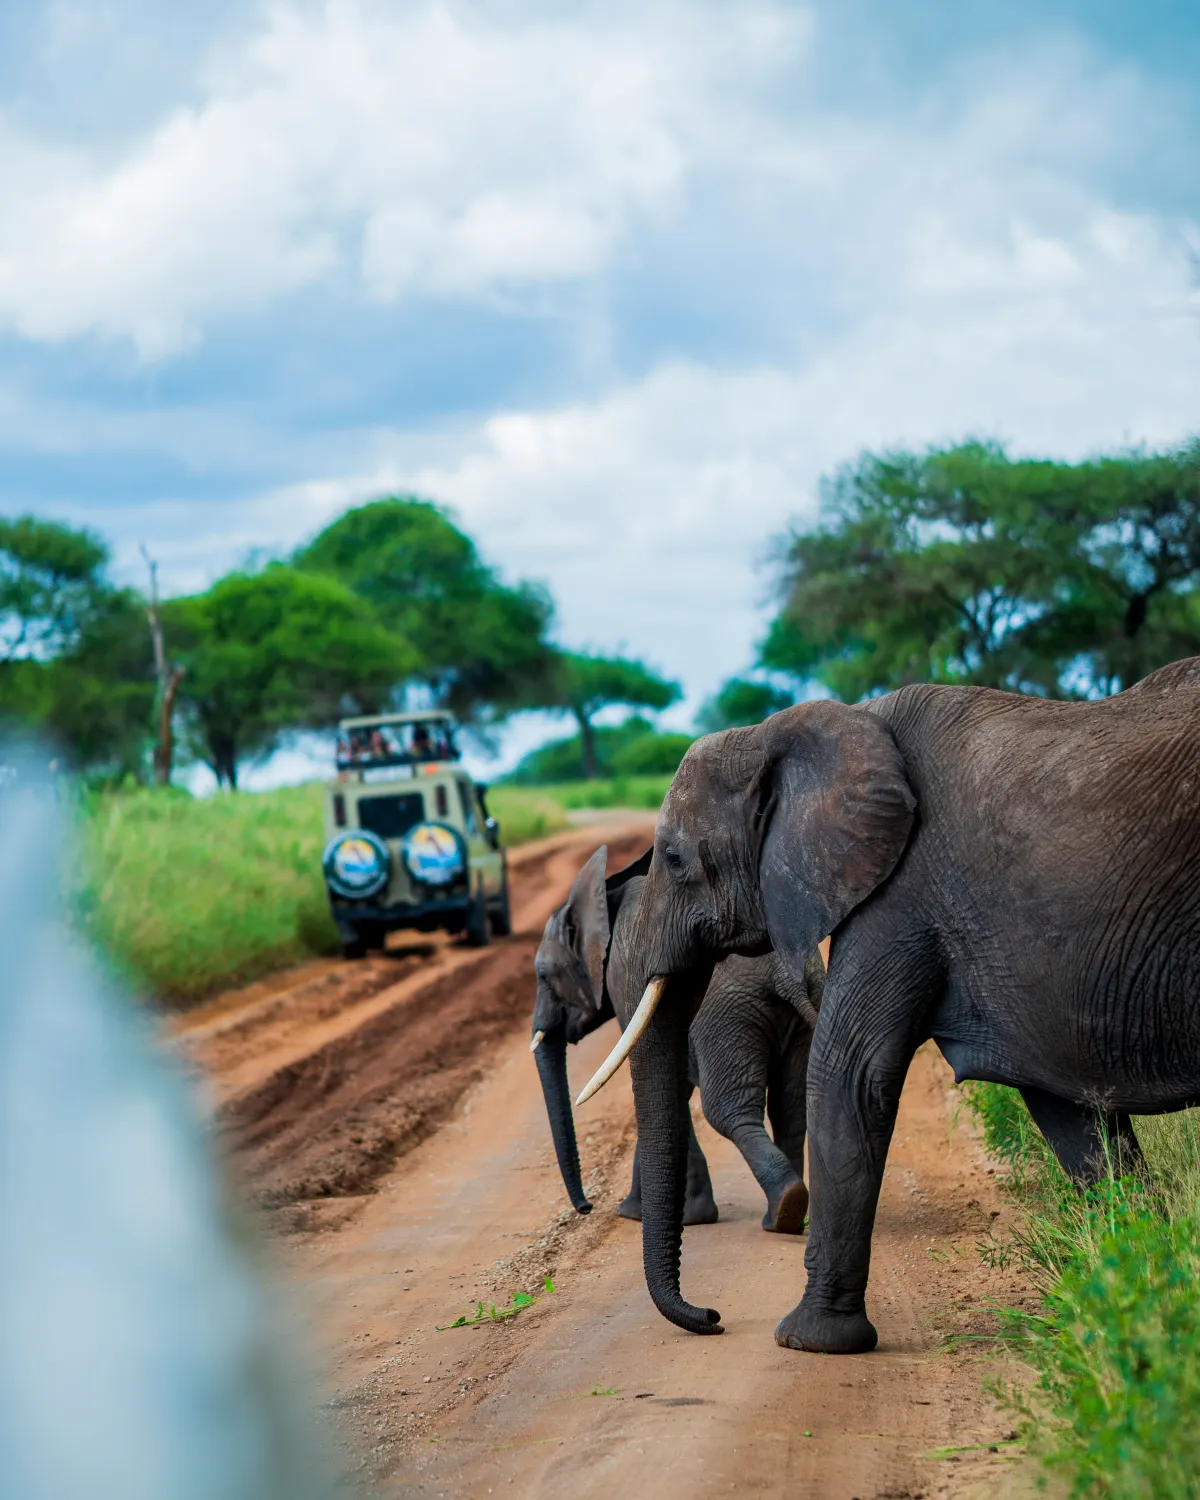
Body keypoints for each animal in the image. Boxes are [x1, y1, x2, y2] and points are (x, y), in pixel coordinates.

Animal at [531, 845, 824, 1234]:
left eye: (542, 975)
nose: (586, 1207)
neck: (605, 896)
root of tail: (783, 977)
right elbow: (673, 1088)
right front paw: (658, 1213)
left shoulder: (626, 980)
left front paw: (655, 1215)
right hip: (804, 1004)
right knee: (790, 1106)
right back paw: (787, 1217)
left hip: (726, 1019)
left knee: (728, 1110)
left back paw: (784, 1209)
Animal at [577, 655, 1200, 1355]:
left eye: (677, 860)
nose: (711, 1316)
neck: (791, 731)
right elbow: (1073, 1114)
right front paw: (1141, 1285)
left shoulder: (902, 892)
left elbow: (849, 1077)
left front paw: (809, 1341)